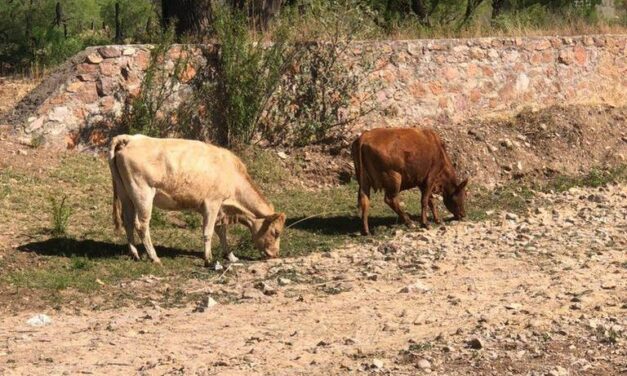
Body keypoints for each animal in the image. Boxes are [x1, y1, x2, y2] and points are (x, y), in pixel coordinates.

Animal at [109, 134, 286, 266]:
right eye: (276, 232)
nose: (275, 254)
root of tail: (130, 138)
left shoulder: (220, 209)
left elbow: (222, 232)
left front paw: (231, 256)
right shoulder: (212, 203)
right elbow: (208, 232)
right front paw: (208, 259)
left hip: (126, 194)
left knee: (128, 221)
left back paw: (135, 254)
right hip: (142, 193)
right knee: (142, 225)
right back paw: (154, 257)